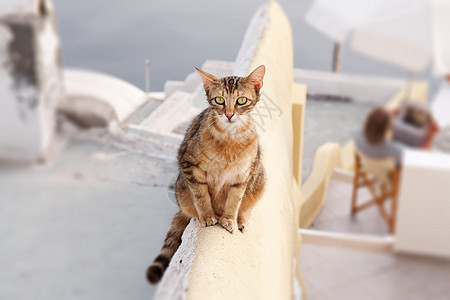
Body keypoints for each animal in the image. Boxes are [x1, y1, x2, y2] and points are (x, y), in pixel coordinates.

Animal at [146, 65, 266, 284]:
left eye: (241, 100)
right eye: (219, 100)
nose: (229, 114)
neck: (229, 139)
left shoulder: (243, 175)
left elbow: (234, 201)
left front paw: (230, 219)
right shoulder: (189, 165)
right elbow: (201, 196)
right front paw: (208, 216)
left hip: (259, 179)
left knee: (246, 206)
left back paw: (241, 219)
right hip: (182, 190)